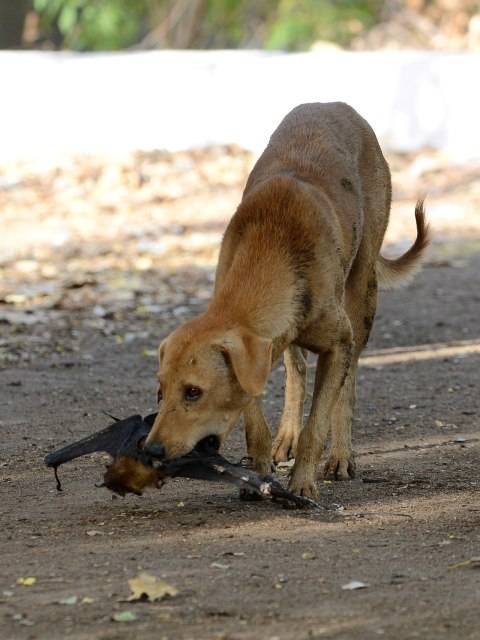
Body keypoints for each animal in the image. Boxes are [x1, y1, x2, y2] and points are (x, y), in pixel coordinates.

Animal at [142, 102, 428, 498]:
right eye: (159, 391)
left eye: (193, 392)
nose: (151, 450)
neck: (271, 246)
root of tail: (333, 104)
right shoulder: (257, 354)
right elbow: (255, 421)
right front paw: (260, 472)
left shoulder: (338, 343)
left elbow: (318, 423)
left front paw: (303, 483)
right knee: (297, 372)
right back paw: (287, 436)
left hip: (363, 294)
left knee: (348, 381)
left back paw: (341, 455)